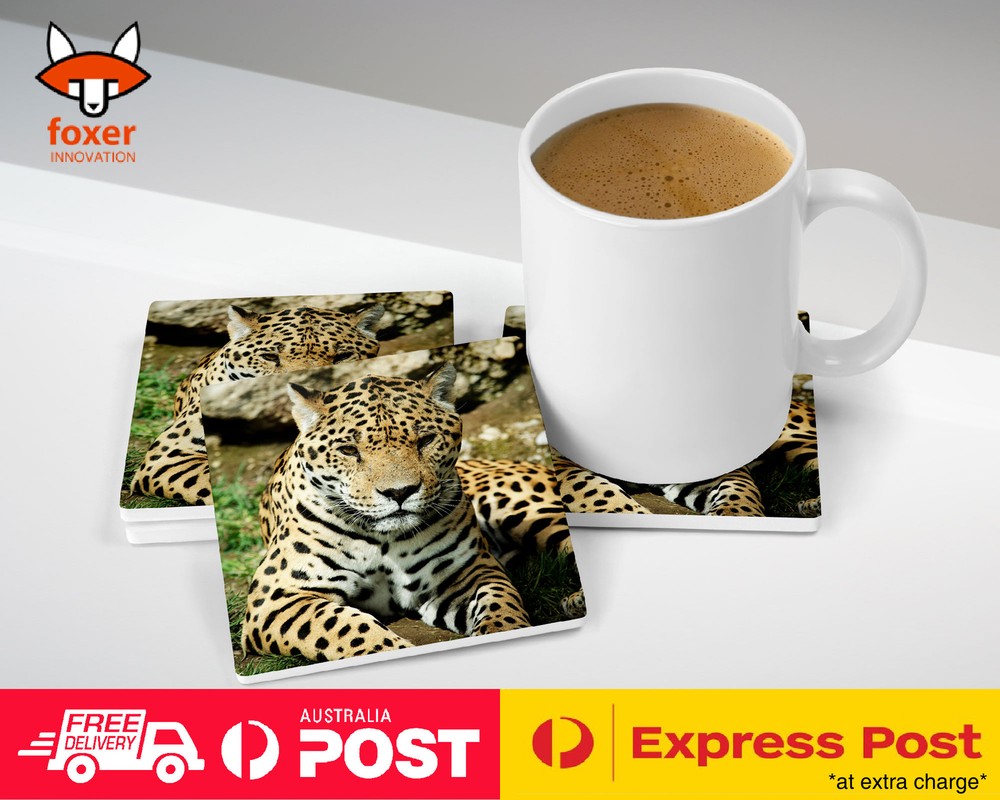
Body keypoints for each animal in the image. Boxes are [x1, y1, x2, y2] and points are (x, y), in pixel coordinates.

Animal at [242, 366, 533, 663]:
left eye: (426, 440)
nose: (400, 492)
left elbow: (500, 603)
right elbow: (349, 628)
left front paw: (506, 630)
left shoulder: (471, 570)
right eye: (349, 450)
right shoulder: (277, 596)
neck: (384, 540)